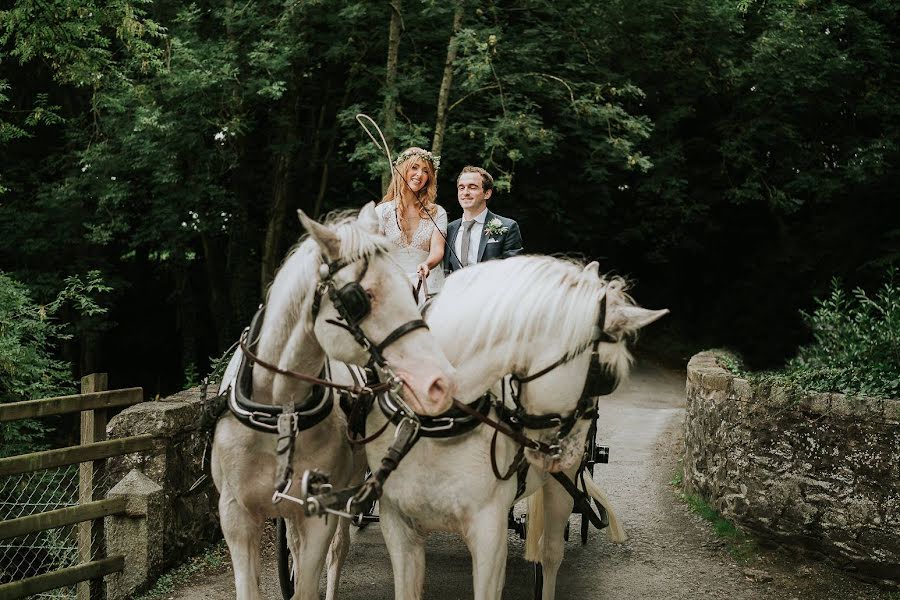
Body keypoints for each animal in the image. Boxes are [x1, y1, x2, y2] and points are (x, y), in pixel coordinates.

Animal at [212, 205, 458, 600]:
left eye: (409, 289)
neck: (282, 412)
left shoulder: (320, 511)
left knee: (337, 549)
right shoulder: (235, 515)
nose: (438, 380)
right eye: (359, 298)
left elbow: (311, 580)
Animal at [352, 256, 668, 600]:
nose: (569, 451)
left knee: (550, 553)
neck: (431, 424)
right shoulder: (397, 527)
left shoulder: (489, 535)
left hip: (562, 484)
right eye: (606, 378)